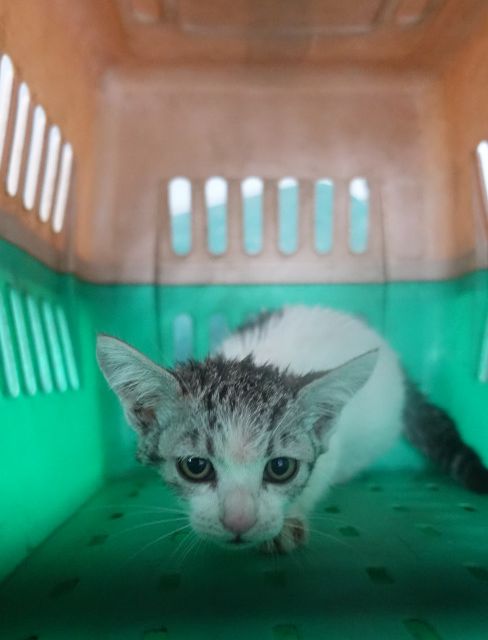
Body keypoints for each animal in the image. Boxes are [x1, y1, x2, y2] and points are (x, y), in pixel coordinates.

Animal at [96, 305, 488, 554]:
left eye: (281, 467)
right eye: (195, 466)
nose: (239, 523)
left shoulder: (332, 447)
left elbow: (318, 477)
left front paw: (287, 523)